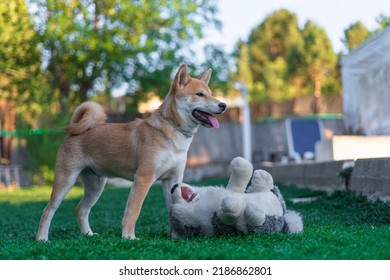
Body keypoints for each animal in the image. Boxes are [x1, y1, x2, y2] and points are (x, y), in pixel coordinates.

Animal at [37, 64, 227, 241]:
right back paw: (42, 239)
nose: (223, 105)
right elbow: (133, 212)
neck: (172, 129)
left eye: (211, 93)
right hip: (65, 180)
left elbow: (172, 209)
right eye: (200, 94)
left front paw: (175, 235)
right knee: (48, 210)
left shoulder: (172, 180)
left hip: (96, 185)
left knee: (81, 210)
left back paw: (88, 234)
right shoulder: (143, 178)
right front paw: (129, 237)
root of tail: (75, 132)